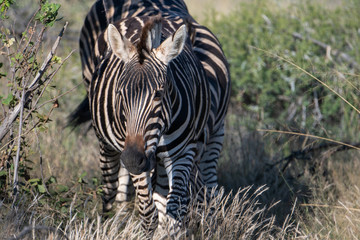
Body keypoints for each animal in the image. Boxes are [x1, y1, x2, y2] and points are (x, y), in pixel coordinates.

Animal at [70, 0, 231, 236]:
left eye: (159, 94)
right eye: (120, 93)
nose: (132, 159)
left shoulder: (184, 151)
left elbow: (173, 209)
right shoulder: (136, 153)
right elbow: (148, 212)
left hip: (214, 135)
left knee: (207, 186)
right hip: (108, 143)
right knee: (110, 186)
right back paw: (109, 221)